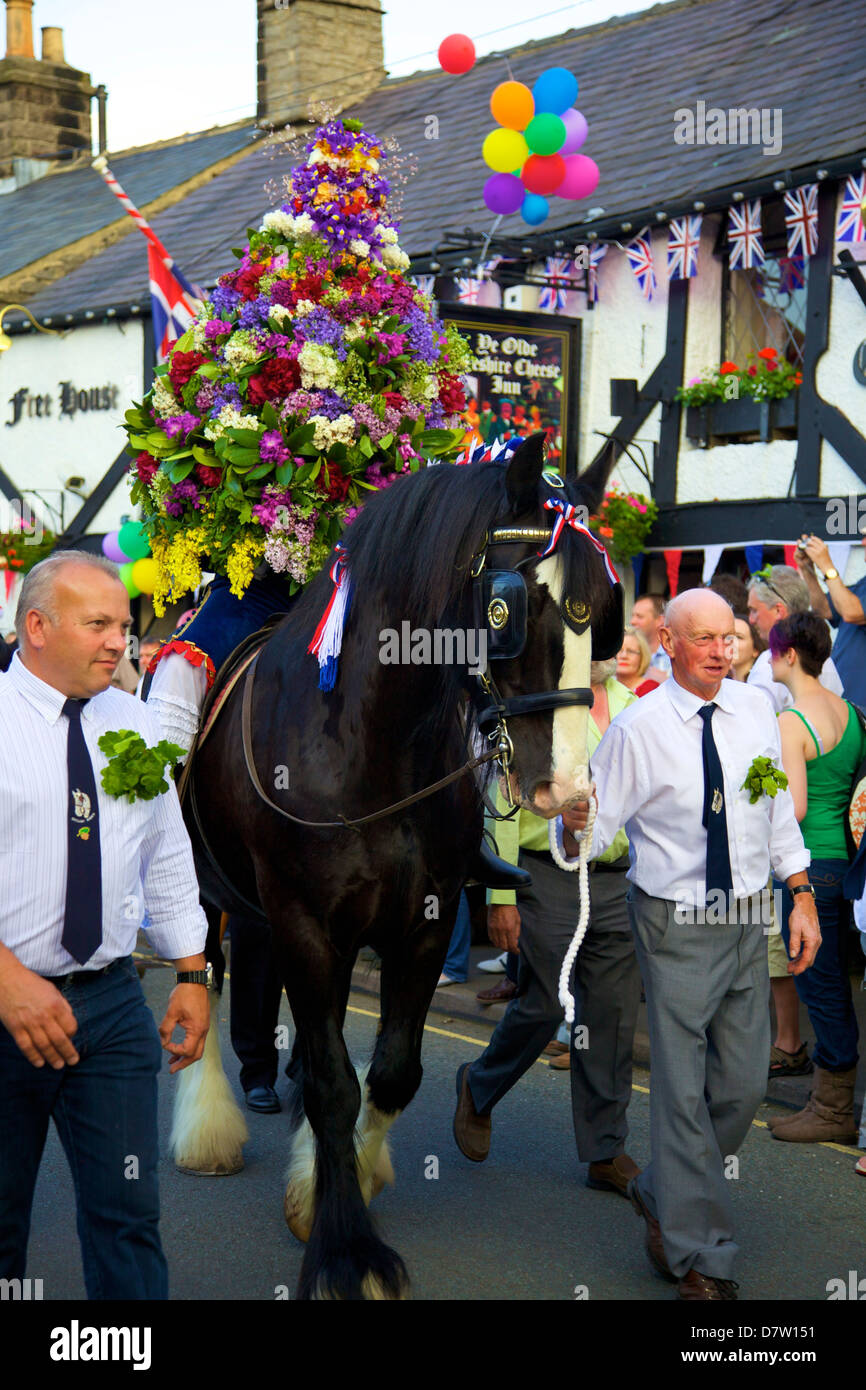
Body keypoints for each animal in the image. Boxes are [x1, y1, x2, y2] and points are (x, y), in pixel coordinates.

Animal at [173, 428, 622, 1295]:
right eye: (512, 606)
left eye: (606, 617)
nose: (569, 788)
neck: (369, 742)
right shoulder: (308, 925)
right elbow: (332, 1084)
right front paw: (347, 1249)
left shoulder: (424, 924)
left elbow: (388, 1076)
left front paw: (333, 1181)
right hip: (207, 894)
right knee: (204, 981)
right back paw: (209, 1123)